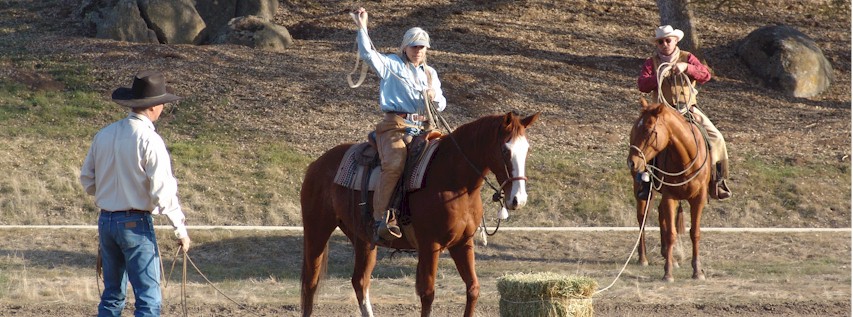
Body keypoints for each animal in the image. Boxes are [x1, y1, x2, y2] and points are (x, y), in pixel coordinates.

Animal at [300, 111, 540, 316]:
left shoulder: (463, 243)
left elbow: (473, 288)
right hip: (317, 230)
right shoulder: (429, 246)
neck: (453, 180)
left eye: (527, 150)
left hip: (364, 239)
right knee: (311, 282)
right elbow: (428, 294)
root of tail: (316, 165)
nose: (518, 199)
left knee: (360, 281)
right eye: (505, 150)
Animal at [624, 99, 712, 282]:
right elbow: (671, 233)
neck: (686, 159)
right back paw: (643, 258)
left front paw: (697, 271)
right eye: (635, 128)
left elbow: (695, 233)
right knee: (642, 218)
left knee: (660, 214)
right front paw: (668, 273)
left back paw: (666, 254)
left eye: (649, 130)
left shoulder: (698, 199)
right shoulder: (670, 196)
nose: (632, 162)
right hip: (643, 190)